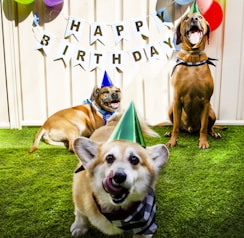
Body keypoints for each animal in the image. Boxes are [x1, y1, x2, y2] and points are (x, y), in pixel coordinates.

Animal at [166, 12, 221, 149]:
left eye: (200, 17)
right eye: (186, 17)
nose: (194, 19)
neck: (192, 57)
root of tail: (190, 128)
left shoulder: (206, 101)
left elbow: (204, 128)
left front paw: (203, 142)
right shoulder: (176, 100)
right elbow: (175, 127)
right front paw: (172, 141)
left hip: (212, 112)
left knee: (209, 127)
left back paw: (214, 133)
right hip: (171, 110)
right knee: (176, 126)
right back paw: (169, 133)